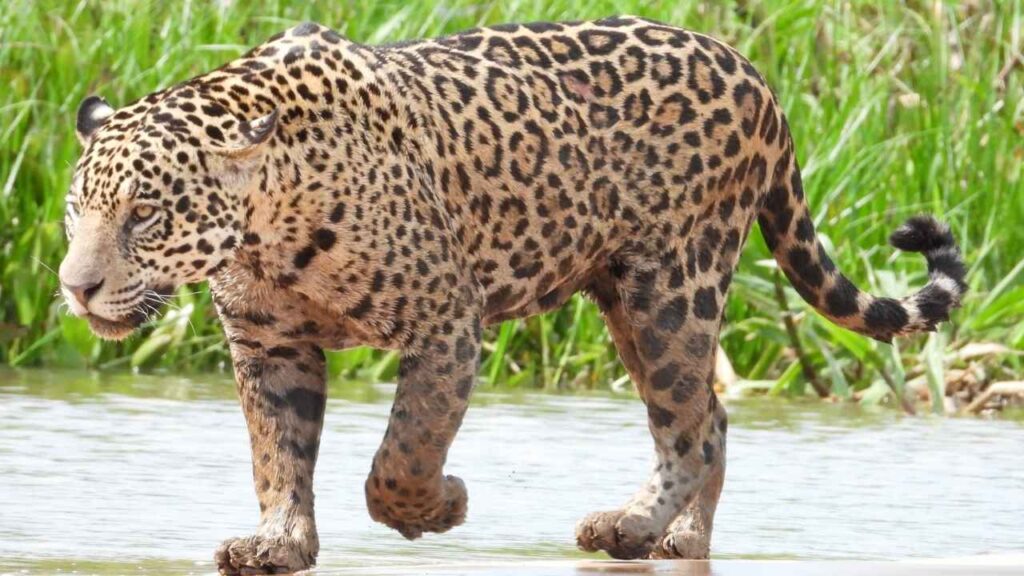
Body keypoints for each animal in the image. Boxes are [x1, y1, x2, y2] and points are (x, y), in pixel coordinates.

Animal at [59, 16, 967, 575]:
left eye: (144, 214)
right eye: (76, 211)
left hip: (671, 291)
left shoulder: (445, 322)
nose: (75, 286)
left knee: (691, 425)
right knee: (710, 415)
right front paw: (278, 544)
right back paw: (678, 539)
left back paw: (633, 527)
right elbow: (277, 454)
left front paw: (437, 509)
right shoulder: (269, 345)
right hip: (627, 301)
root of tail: (753, 74)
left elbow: (404, 451)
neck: (269, 224)